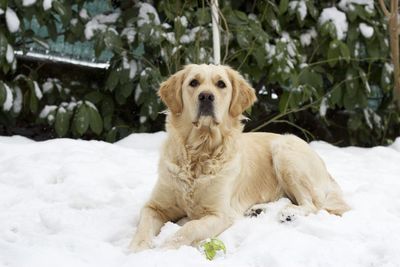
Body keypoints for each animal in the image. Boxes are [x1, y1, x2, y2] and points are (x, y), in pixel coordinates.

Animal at [129, 63, 350, 252]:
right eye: (193, 83)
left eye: (221, 84)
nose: (206, 96)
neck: (199, 151)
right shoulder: (155, 206)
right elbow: (143, 226)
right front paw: (136, 250)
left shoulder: (220, 214)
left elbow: (189, 228)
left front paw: (164, 250)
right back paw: (259, 209)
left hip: (285, 150)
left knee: (312, 204)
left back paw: (289, 213)